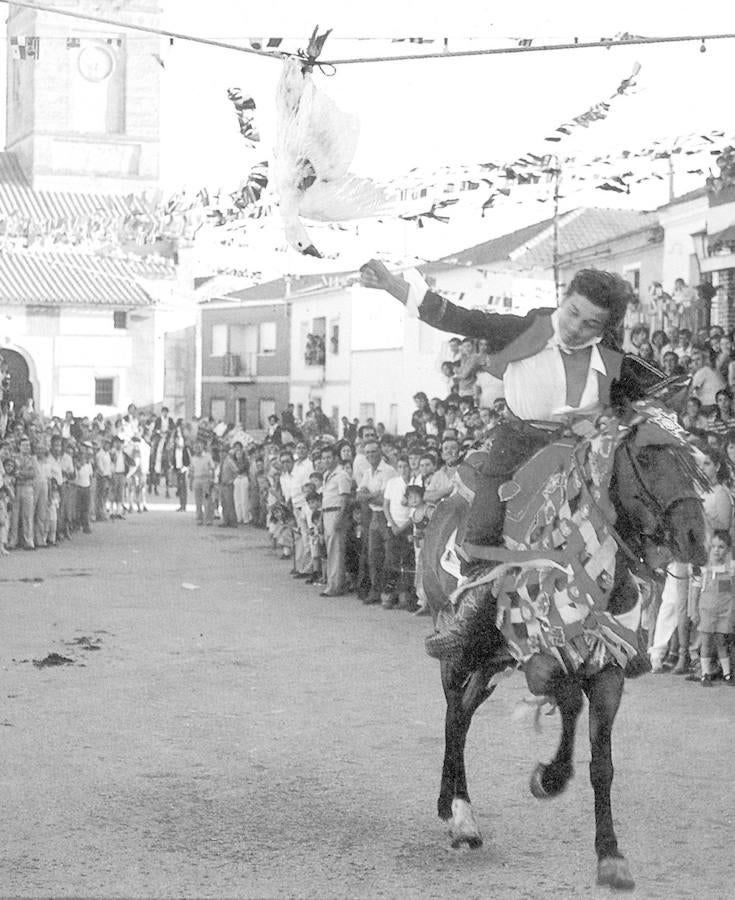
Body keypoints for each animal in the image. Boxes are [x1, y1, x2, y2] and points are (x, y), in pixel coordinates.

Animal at [422, 402, 712, 892]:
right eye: (647, 457)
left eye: (692, 461)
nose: (695, 537)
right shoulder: (540, 660)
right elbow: (571, 700)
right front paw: (550, 777)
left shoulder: (609, 669)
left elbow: (602, 763)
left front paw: (610, 855)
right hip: (458, 652)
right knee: (454, 719)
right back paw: (460, 816)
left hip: (489, 663)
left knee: (461, 714)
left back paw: (452, 806)